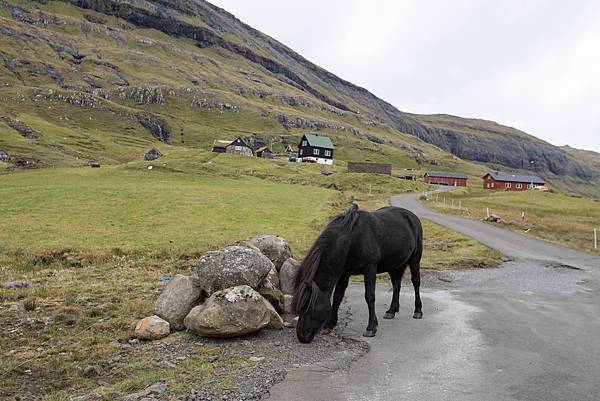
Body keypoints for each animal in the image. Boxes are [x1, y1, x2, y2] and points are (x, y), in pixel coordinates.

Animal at [292, 205, 424, 342]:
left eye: (308, 307)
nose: (302, 336)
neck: (352, 241)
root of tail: (411, 216)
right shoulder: (344, 273)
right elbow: (338, 296)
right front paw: (329, 324)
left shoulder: (370, 268)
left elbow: (369, 296)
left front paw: (371, 327)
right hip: (394, 265)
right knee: (396, 284)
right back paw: (391, 311)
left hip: (415, 259)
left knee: (416, 282)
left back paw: (418, 310)